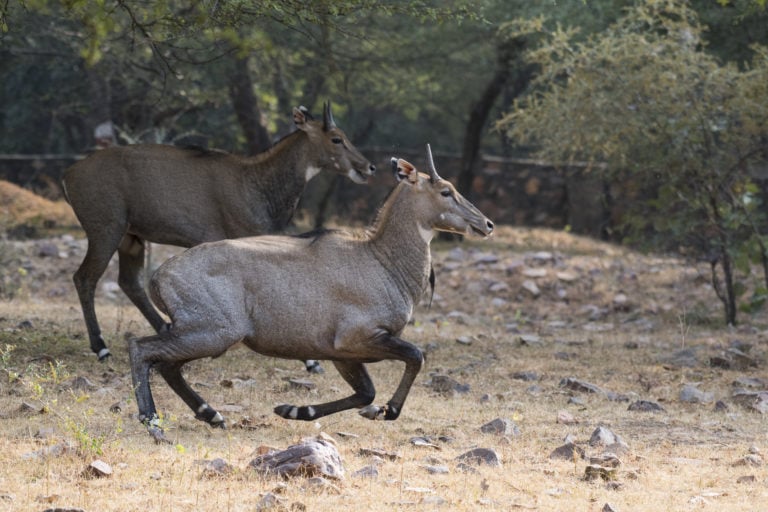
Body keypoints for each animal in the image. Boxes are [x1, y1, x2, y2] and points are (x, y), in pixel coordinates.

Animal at [61, 101, 374, 364]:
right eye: (336, 138)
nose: (368, 167)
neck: (257, 181)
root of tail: (69, 174)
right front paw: (310, 361)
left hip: (131, 237)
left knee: (129, 281)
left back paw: (165, 329)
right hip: (106, 230)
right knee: (85, 278)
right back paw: (101, 347)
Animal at [127, 145, 492, 444]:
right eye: (446, 191)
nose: (486, 224)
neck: (383, 261)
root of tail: (159, 275)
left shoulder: (340, 352)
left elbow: (365, 392)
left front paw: (295, 410)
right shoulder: (358, 338)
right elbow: (415, 357)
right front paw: (388, 410)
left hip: (202, 334)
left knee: (167, 365)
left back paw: (211, 414)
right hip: (214, 332)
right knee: (142, 349)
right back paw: (153, 423)